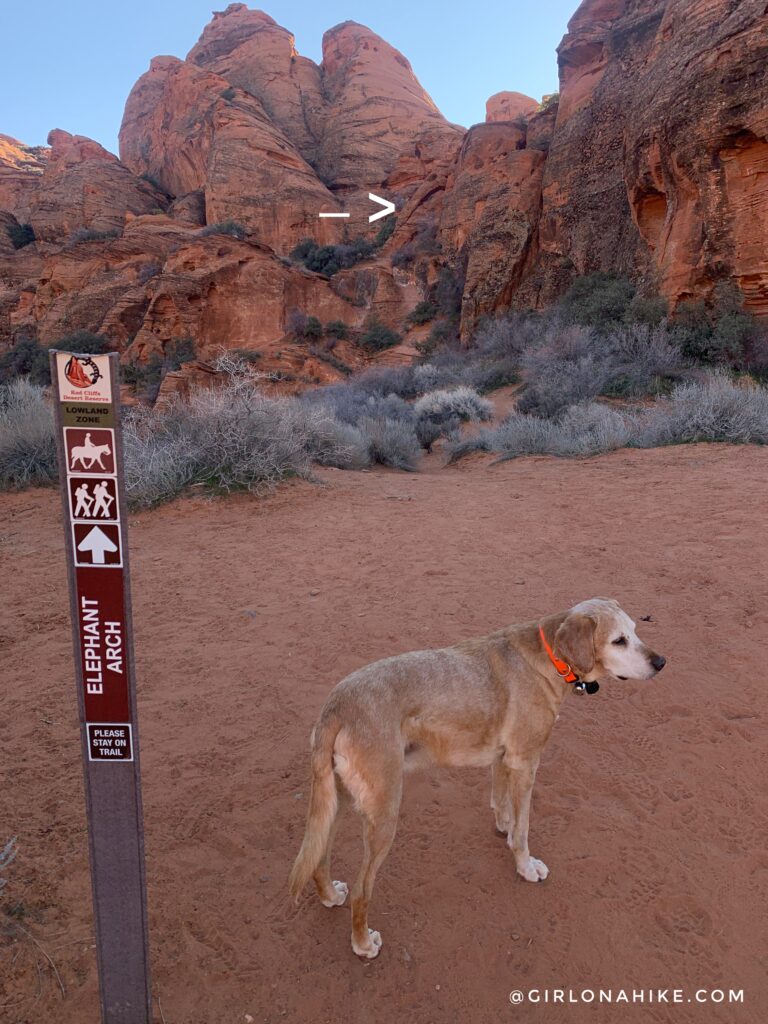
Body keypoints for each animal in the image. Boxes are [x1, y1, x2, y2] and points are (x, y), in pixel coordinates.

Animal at [288, 598, 667, 958]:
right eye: (619, 640)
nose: (661, 662)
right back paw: (363, 943)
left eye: (636, 631)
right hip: (383, 813)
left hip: (336, 799)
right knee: (362, 889)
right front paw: (525, 865)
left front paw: (504, 826)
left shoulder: (504, 758)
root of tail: (336, 706)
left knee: (319, 857)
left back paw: (329, 895)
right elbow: (524, 829)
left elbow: (501, 802)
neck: (549, 657)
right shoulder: (526, 761)